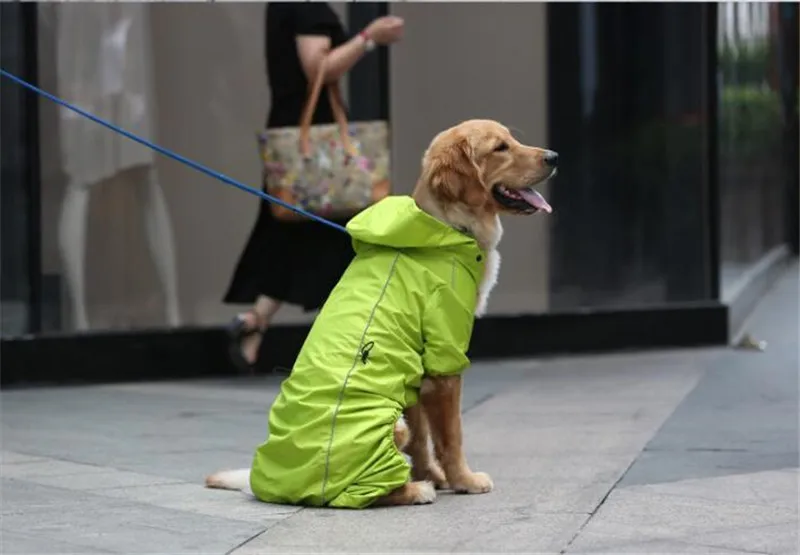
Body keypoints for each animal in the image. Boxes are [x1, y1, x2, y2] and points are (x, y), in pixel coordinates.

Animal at [206, 120, 556, 508]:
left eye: (511, 139)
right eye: (500, 148)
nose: (554, 157)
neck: (445, 229)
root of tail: (273, 484)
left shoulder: (414, 372)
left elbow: (421, 438)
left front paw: (432, 475)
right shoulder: (444, 361)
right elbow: (451, 437)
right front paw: (462, 480)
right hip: (382, 423)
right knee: (355, 495)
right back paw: (414, 491)